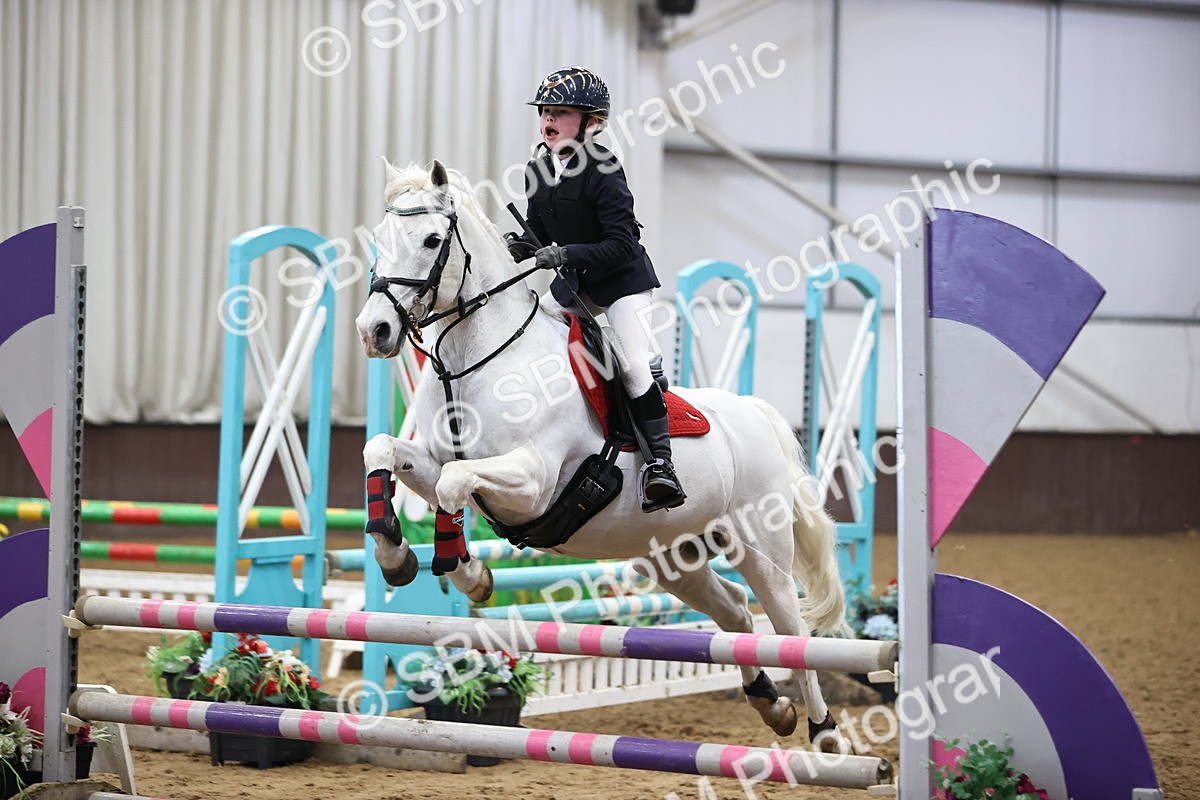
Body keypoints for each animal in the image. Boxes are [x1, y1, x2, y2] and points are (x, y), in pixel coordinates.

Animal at [355, 159, 849, 748]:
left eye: (433, 240)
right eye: (379, 238)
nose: (374, 330)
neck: (477, 356)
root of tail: (755, 414)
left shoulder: (532, 483)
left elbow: (456, 482)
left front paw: (470, 576)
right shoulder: (436, 463)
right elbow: (384, 452)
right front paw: (396, 555)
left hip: (761, 548)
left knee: (791, 630)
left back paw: (825, 733)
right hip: (672, 557)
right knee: (734, 613)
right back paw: (772, 706)